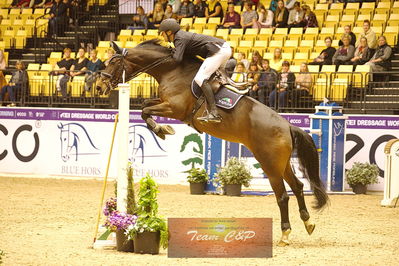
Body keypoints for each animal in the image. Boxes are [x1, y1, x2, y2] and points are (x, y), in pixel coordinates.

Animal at [97, 39, 328, 247]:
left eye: (113, 62)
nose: (99, 86)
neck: (172, 70)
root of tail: (287, 126)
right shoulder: (164, 103)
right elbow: (145, 105)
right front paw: (161, 129)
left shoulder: (174, 108)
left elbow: (145, 110)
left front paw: (161, 130)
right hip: (283, 163)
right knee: (298, 187)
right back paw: (308, 223)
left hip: (270, 165)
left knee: (282, 196)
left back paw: (285, 234)